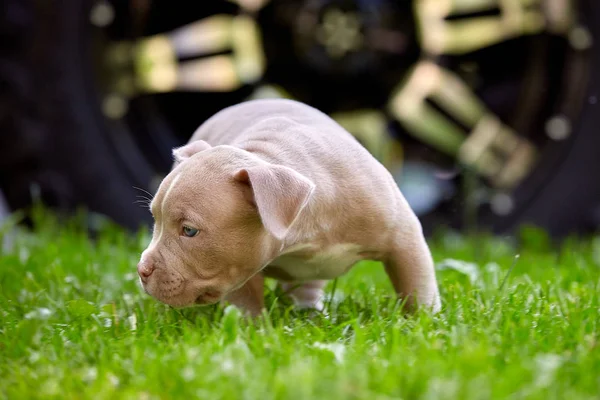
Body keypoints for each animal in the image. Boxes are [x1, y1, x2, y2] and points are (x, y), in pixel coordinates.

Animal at [138, 99, 442, 316]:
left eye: (189, 231)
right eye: (155, 220)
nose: (141, 270)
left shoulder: (403, 237)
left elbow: (417, 285)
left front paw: (425, 325)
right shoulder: (237, 264)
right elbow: (246, 305)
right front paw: (254, 334)